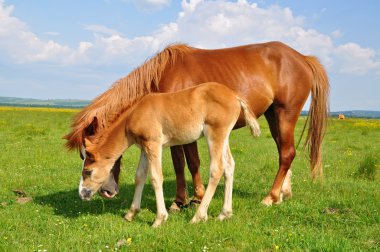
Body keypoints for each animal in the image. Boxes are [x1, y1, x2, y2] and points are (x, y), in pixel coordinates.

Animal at [63, 40, 328, 207]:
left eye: (90, 157)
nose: (106, 192)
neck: (165, 76)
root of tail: (303, 58)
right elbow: (180, 165)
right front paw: (182, 200)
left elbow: (190, 162)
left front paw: (193, 198)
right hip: (273, 116)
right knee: (284, 151)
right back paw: (283, 193)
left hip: (285, 114)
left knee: (287, 153)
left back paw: (270, 197)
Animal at [78, 82, 260, 226]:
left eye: (88, 171)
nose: (82, 193)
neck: (135, 114)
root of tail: (234, 95)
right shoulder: (144, 148)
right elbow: (140, 177)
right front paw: (131, 214)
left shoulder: (154, 144)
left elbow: (156, 177)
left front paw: (159, 219)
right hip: (224, 137)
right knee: (229, 166)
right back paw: (224, 214)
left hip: (215, 134)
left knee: (217, 169)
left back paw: (198, 216)